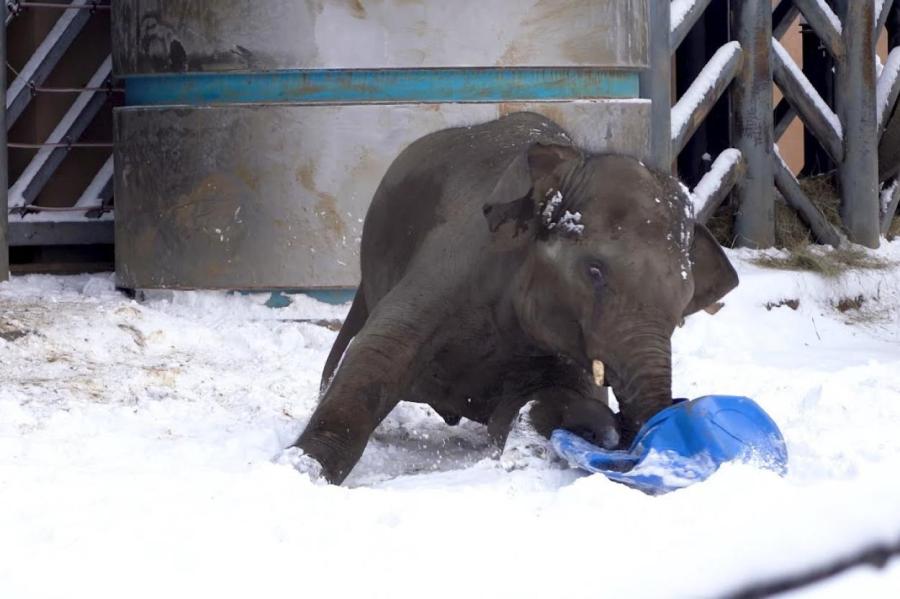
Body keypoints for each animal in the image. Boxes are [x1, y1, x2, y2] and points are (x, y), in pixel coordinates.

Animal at [284, 113, 740, 488]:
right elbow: (376, 355)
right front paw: (301, 468)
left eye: (683, 307)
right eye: (594, 272)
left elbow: (548, 398)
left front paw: (575, 425)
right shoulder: (452, 263)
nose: (634, 433)